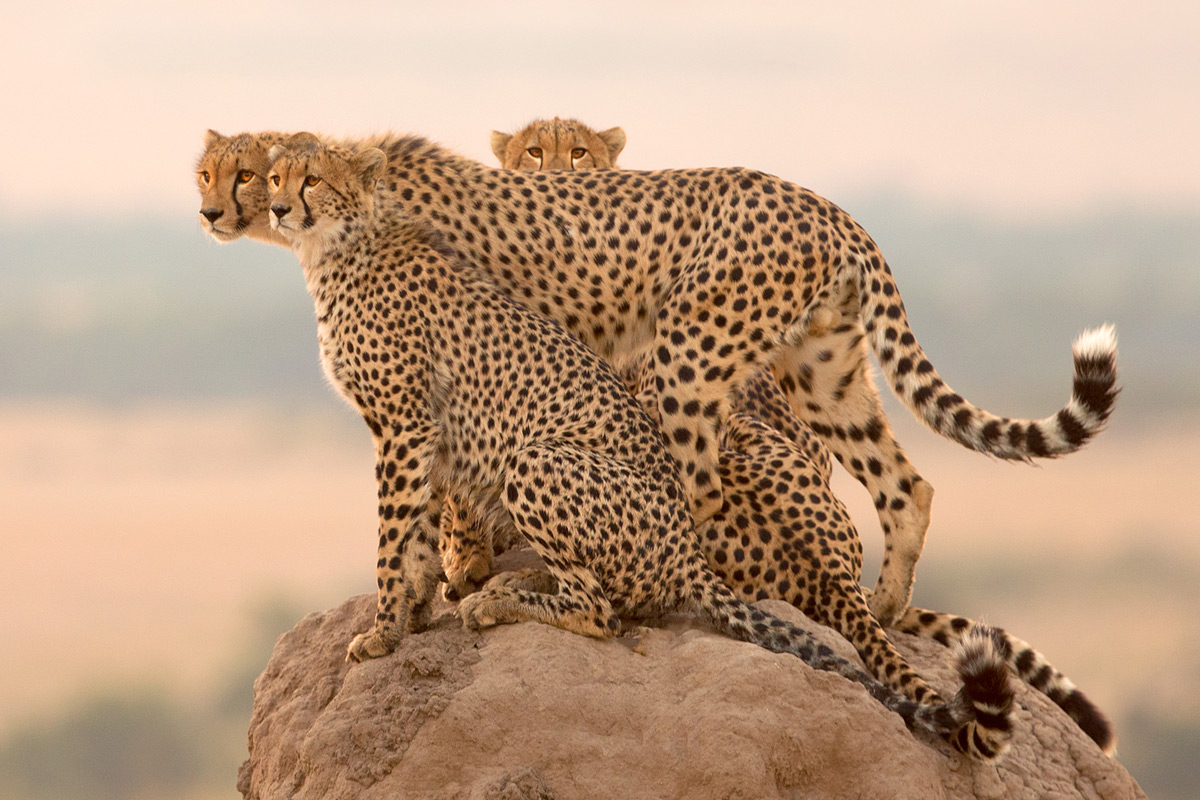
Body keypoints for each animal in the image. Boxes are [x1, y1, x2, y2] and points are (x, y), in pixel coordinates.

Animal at [258, 134, 1017, 762]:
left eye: (312, 178)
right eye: (274, 174)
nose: (278, 206)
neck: (345, 241)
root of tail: (828, 206)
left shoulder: (406, 425)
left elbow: (395, 536)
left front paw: (386, 628)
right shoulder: (417, 431)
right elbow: (413, 535)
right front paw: (413, 614)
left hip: (626, 394)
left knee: (613, 600)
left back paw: (507, 601)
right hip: (822, 365)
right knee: (904, 484)